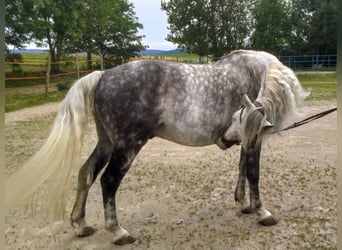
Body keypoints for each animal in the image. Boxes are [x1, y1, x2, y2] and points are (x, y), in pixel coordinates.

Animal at [5, 49, 308, 245]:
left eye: (237, 118)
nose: (224, 138)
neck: (256, 72)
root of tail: (104, 75)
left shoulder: (247, 138)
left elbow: (243, 169)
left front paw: (244, 203)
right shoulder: (254, 137)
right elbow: (254, 172)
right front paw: (262, 212)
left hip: (107, 143)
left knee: (86, 173)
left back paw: (80, 225)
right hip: (127, 146)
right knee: (108, 181)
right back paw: (118, 232)